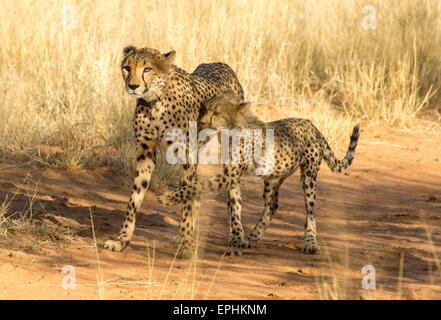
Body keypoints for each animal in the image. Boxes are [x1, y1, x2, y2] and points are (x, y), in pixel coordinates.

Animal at [103, 46, 244, 258]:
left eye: (148, 69)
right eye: (127, 68)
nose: (133, 86)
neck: (155, 102)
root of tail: (222, 64)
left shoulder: (186, 156)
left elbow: (186, 200)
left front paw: (186, 246)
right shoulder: (146, 153)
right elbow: (134, 199)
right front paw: (121, 240)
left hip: (228, 147)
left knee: (232, 189)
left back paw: (236, 238)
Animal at [156, 91, 360, 256]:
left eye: (217, 113)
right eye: (205, 109)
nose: (203, 122)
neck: (228, 132)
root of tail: (311, 124)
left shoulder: (228, 177)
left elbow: (196, 186)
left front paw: (167, 198)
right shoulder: (232, 179)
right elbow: (235, 212)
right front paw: (237, 241)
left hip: (308, 176)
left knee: (310, 210)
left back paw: (310, 242)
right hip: (272, 179)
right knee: (273, 205)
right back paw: (254, 235)